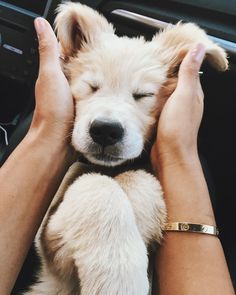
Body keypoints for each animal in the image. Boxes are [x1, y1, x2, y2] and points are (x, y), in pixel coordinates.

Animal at [23, 2, 227, 295]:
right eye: (91, 87)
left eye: (143, 95)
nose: (105, 131)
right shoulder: (47, 240)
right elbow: (95, 185)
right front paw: (119, 277)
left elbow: (140, 179)